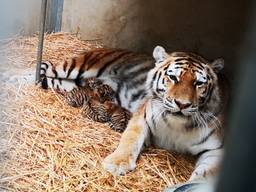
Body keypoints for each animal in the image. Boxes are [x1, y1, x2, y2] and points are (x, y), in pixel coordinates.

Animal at [39, 45, 228, 184]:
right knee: (44, 68)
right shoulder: (142, 118)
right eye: (173, 77)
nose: (182, 104)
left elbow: (205, 174)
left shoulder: (217, 150)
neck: (178, 125)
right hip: (75, 67)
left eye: (199, 83)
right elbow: (130, 140)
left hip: (70, 84)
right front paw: (116, 164)